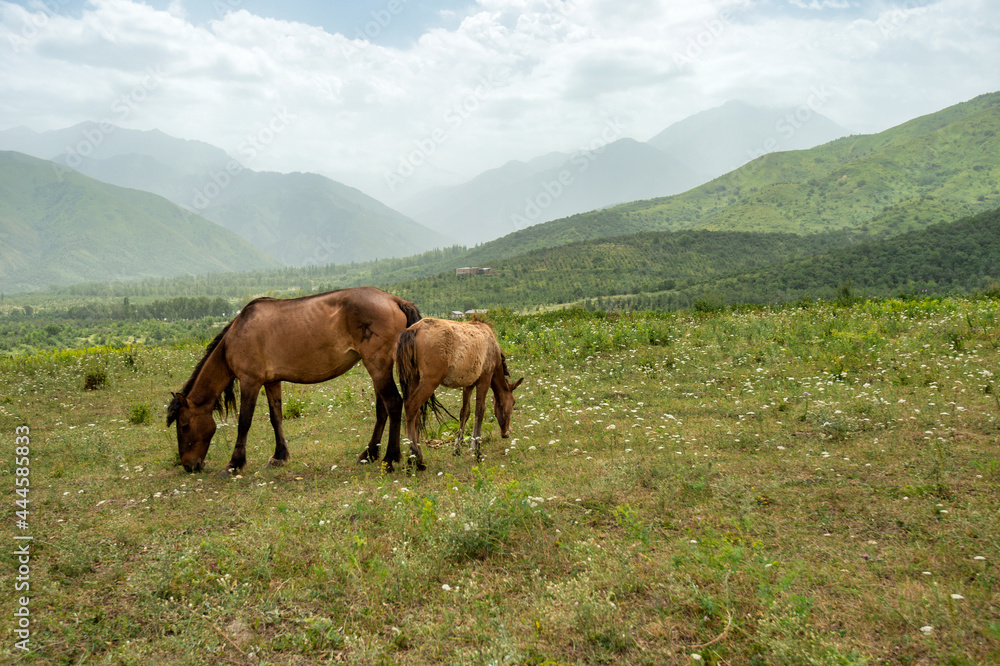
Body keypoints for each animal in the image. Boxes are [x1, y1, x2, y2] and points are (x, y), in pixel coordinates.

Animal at [396, 316, 528, 462]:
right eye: (513, 403)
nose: (506, 433)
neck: (492, 347)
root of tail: (414, 329)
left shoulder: (468, 385)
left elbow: (465, 412)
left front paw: (457, 449)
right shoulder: (484, 380)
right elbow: (479, 411)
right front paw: (477, 451)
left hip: (413, 379)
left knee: (416, 413)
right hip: (429, 382)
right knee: (411, 407)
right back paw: (415, 455)